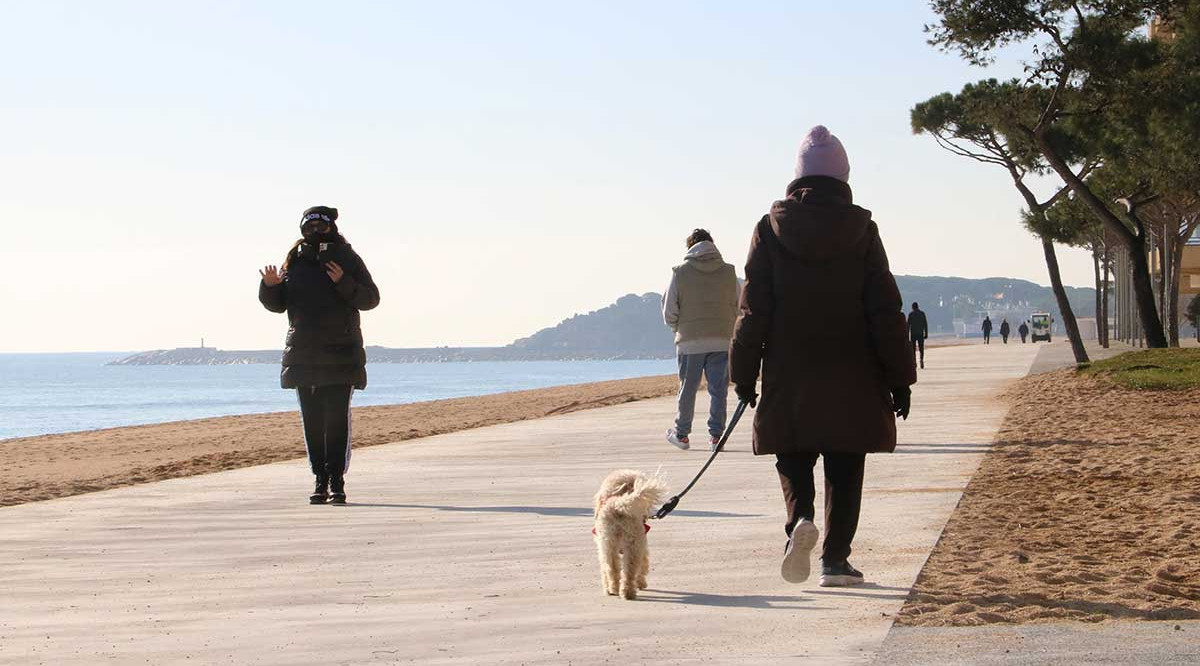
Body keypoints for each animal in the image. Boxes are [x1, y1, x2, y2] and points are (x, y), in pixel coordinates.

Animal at [595, 468, 672, 600]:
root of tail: (618, 504)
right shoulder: (643, 546)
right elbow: (643, 566)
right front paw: (641, 583)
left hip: (611, 545)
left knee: (614, 568)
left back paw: (616, 590)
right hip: (631, 545)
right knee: (627, 571)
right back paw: (626, 592)